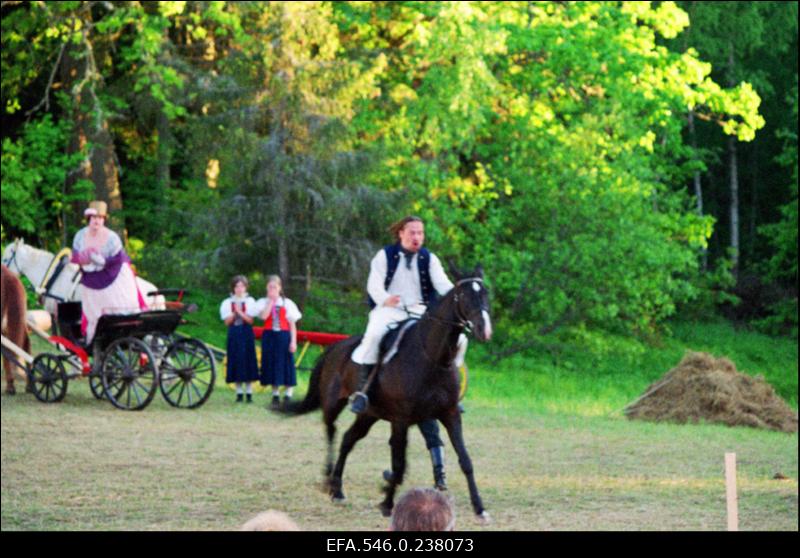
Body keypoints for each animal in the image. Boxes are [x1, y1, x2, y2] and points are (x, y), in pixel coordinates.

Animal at [282, 264, 494, 524]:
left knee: (348, 439)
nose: (485, 330)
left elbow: (465, 460)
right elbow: (399, 462)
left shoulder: (450, 414)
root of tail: (335, 348)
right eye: (463, 295)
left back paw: (338, 489)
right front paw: (387, 503)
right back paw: (329, 480)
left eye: (485, 293)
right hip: (334, 404)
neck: (431, 356)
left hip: (369, 415)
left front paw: (480, 508)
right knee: (331, 431)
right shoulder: (401, 420)